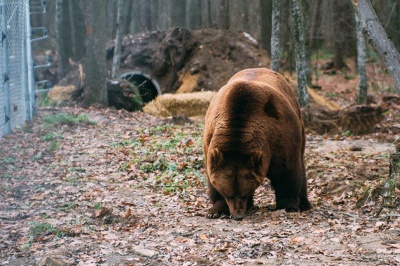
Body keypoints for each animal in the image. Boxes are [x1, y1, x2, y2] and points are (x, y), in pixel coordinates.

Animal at [203, 67, 312, 220]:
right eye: (229, 195)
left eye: (244, 194)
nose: (238, 215)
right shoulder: (210, 140)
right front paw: (216, 210)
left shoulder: (280, 136)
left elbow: (287, 172)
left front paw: (288, 206)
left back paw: (305, 204)